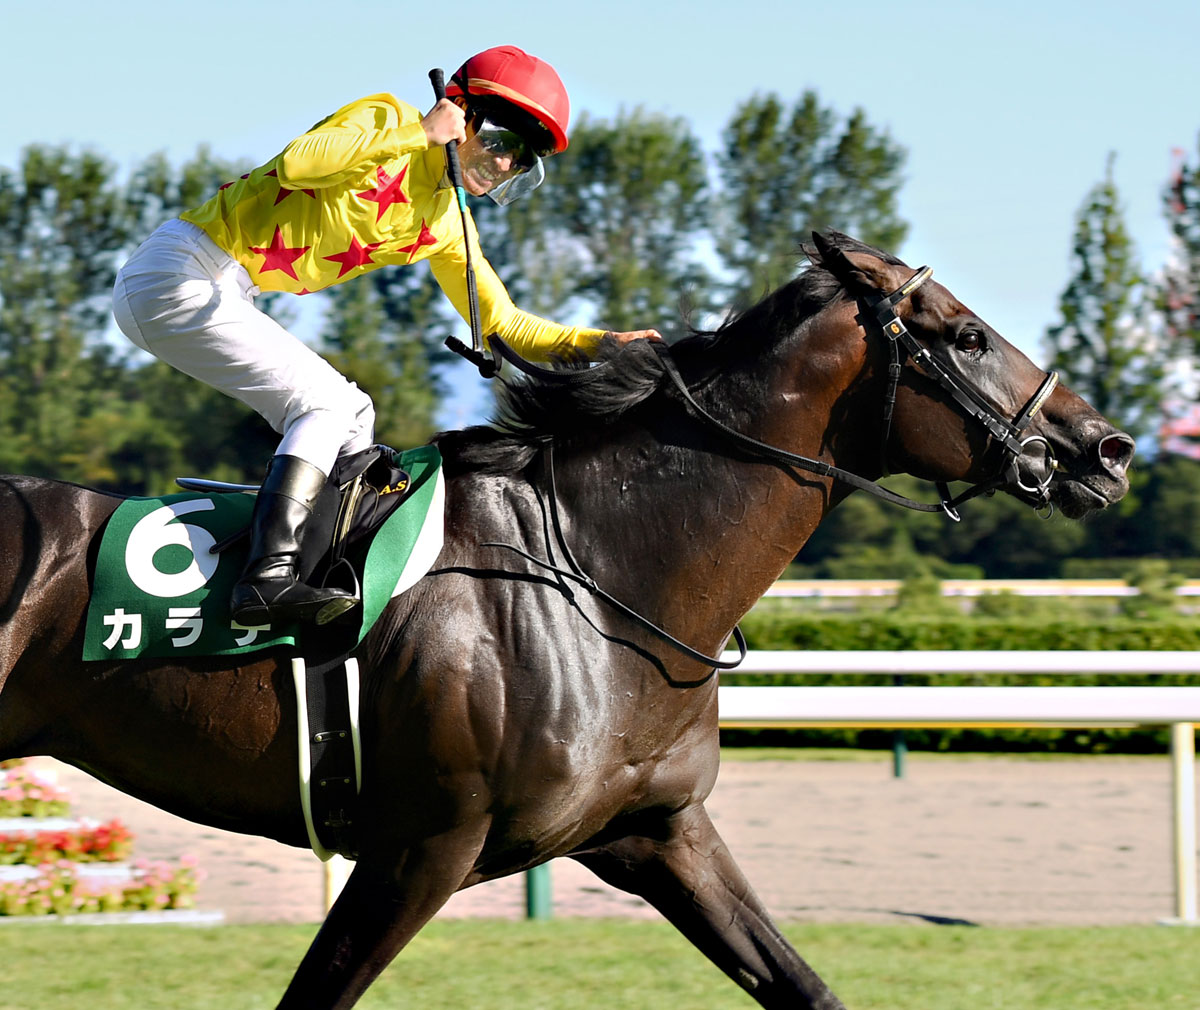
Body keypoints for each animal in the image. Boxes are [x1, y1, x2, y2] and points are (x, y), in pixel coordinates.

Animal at [0, 232, 1133, 1010]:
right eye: (968, 334)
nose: (1106, 447)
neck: (597, 574)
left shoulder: (656, 830)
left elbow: (801, 984)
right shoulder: (421, 847)